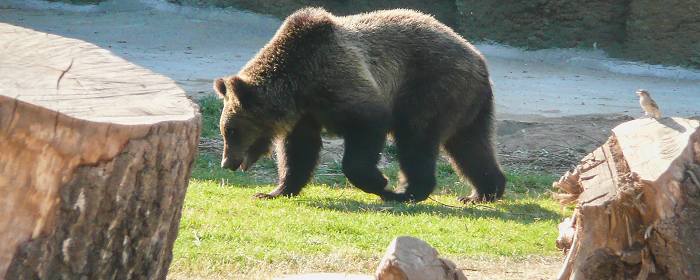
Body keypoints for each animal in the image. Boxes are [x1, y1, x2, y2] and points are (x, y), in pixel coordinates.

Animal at [213, 7, 504, 203]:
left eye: (231, 131)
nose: (227, 162)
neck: (299, 85)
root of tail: (479, 60)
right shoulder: (306, 114)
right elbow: (298, 152)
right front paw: (273, 191)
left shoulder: (342, 82)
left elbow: (366, 129)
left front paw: (380, 182)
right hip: (468, 105)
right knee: (470, 146)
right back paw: (483, 192)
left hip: (431, 86)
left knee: (416, 138)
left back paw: (406, 192)